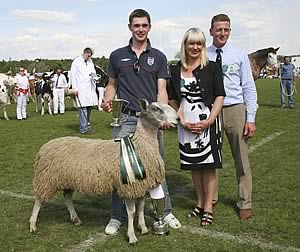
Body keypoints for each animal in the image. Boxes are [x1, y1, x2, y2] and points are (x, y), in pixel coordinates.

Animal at [28, 99, 178, 244]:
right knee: (39, 200)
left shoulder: (140, 184)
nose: (177, 119)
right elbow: (131, 211)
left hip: (67, 179)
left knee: (67, 197)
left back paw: (75, 219)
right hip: (46, 178)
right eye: (156, 108)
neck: (141, 144)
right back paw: (33, 224)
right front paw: (131, 236)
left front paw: (143, 228)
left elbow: (140, 207)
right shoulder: (129, 185)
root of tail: (45, 147)